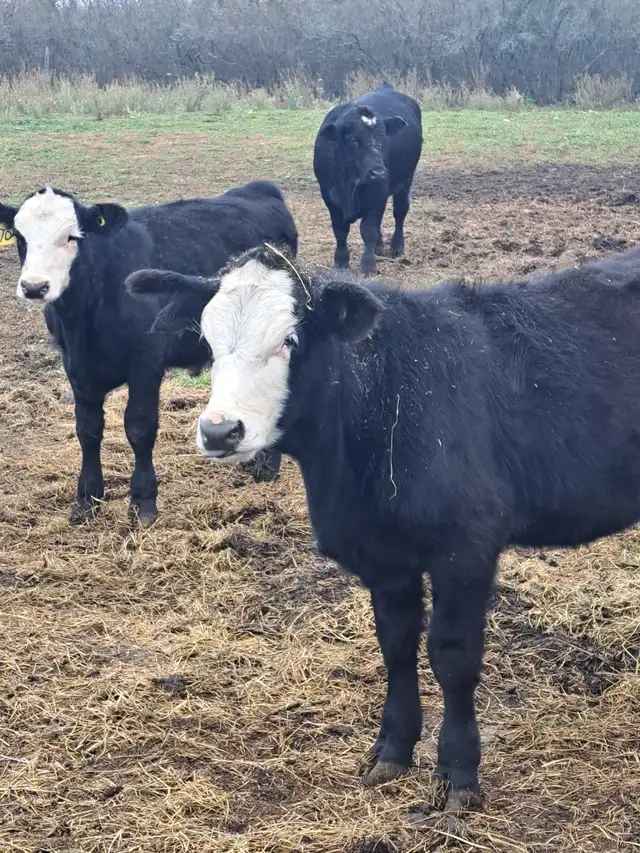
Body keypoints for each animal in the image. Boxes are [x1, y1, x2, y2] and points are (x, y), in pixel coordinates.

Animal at [0, 183, 298, 526]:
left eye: (72, 237)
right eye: (19, 237)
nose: (34, 287)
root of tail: (260, 189)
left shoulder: (145, 363)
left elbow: (139, 428)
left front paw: (142, 500)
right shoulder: (76, 368)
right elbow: (87, 430)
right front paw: (87, 500)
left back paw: (267, 468)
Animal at [126, 243, 640, 811]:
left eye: (289, 340)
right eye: (209, 343)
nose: (220, 431)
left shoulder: (466, 547)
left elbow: (453, 656)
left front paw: (458, 773)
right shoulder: (382, 554)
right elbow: (395, 645)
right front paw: (391, 750)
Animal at [313, 82, 422, 277]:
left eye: (383, 137)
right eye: (352, 139)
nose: (378, 172)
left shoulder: (379, 193)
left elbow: (368, 229)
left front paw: (368, 266)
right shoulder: (329, 196)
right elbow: (340, 230)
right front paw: (341, 262)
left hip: (406, 181)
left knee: (400, 212)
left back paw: (396, 248)